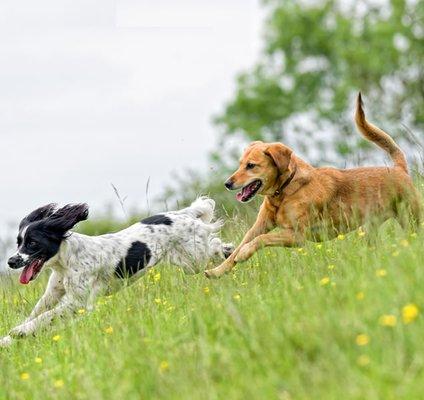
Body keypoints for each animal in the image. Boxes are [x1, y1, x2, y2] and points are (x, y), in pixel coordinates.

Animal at [0, 198, 234, 346]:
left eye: (32, 243)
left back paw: (227, 251)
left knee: (213, 245)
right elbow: (38, 313)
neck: (65, 261)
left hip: (193, 260)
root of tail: (184, 213)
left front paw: (20, 332)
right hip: (188, 262)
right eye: (19, 242)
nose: (11, 261)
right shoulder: (53, 294)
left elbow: (45, 317)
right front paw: (7, 340)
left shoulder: (77, 302)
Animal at [205, 92, 420, 276]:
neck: (284, 191)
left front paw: (244, 254)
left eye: (251, 165)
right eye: (240, 164)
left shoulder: (297, 236)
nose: (227, 183)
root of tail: (399, 169)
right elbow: (240, 247)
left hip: (412, 218)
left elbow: (260, 240)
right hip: (371, 229)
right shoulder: (259, 226)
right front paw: (217, 271)